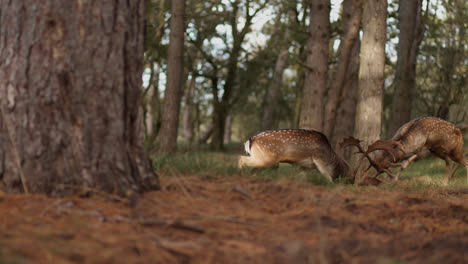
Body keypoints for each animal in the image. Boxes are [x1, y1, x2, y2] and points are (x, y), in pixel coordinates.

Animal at [340, 116, 468, 185]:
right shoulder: (426, 147)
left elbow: (404, 163)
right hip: (436, 150)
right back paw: (444, 182)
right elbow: (403, 165)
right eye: (378, 171)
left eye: (382, 170)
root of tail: (460, 132)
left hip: (455, 150)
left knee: (465, 161)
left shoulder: (419, 148)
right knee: (449, 162)